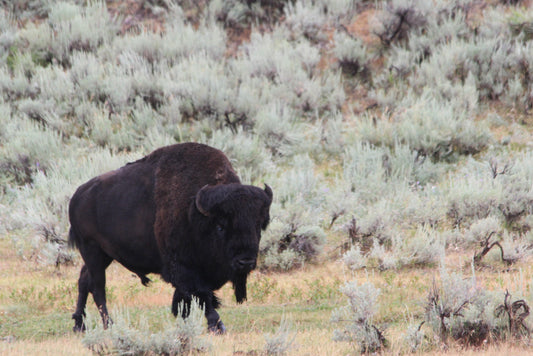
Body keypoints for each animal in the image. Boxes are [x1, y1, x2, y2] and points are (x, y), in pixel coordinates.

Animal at [68, 143, 272, 334]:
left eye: (258, 225)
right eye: (220, 226)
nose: (245, 262)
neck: (193, 211)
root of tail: (77, 195)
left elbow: (185, 300)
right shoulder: (184, 269)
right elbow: (203, 296)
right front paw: (217, 326)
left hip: (104, 255)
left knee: (84, 280)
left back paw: (79, 325)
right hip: (92, 250)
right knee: (98, 287)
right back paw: (108, 325)